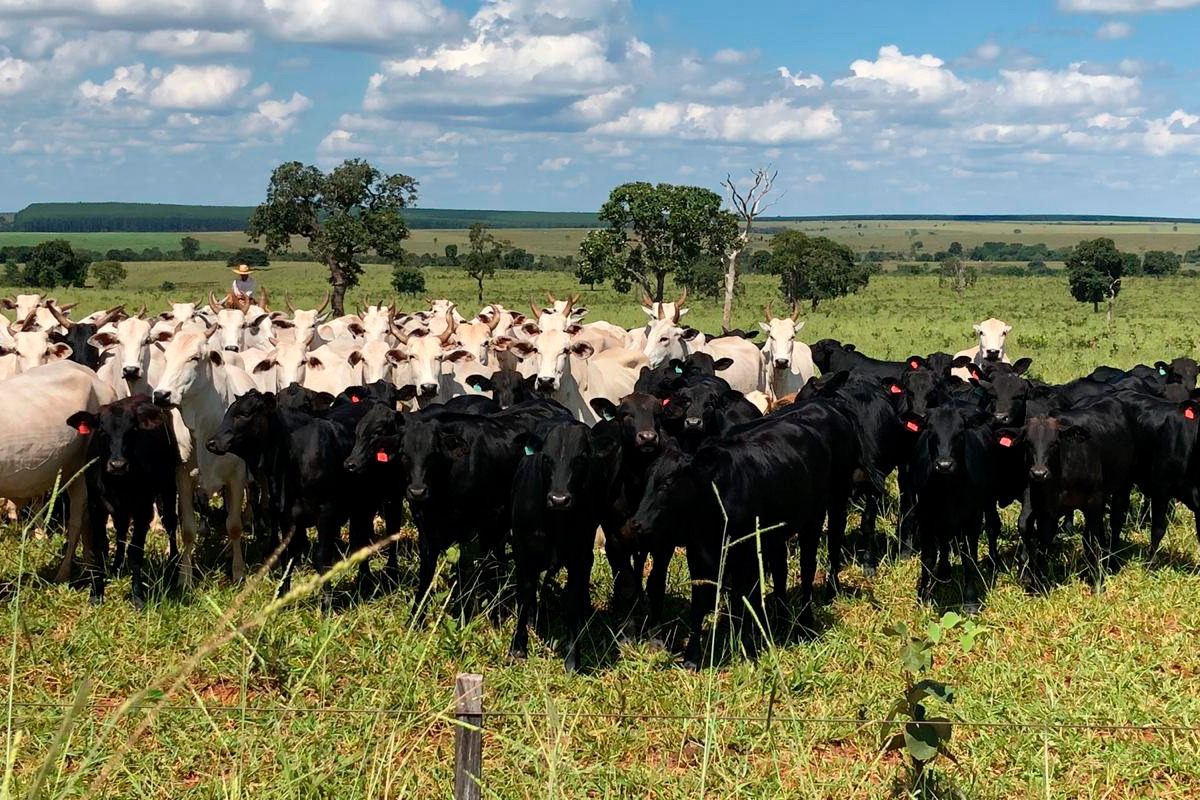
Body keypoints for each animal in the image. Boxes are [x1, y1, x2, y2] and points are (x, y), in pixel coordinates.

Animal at [66, 398, 178, 609]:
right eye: (102, 431)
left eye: (133, 430)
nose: (117, 464)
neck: (116, 484)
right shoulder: (96, 507)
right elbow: (101, 547)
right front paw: (96, 593)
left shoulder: (143, 510)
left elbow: (135, 552)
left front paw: (137, 596)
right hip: (121, 510)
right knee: (121, 531)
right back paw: (116, 567)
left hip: (168, 485)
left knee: (171, 523)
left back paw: (174, 564)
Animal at [152, 328, 255, 585]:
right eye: (166, 357)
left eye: (195, 358)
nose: (161, 395)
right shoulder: (183, 478)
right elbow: (187, 529)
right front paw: (185, 577)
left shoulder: (236, 477)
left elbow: (234, 526)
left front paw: (238, 571)